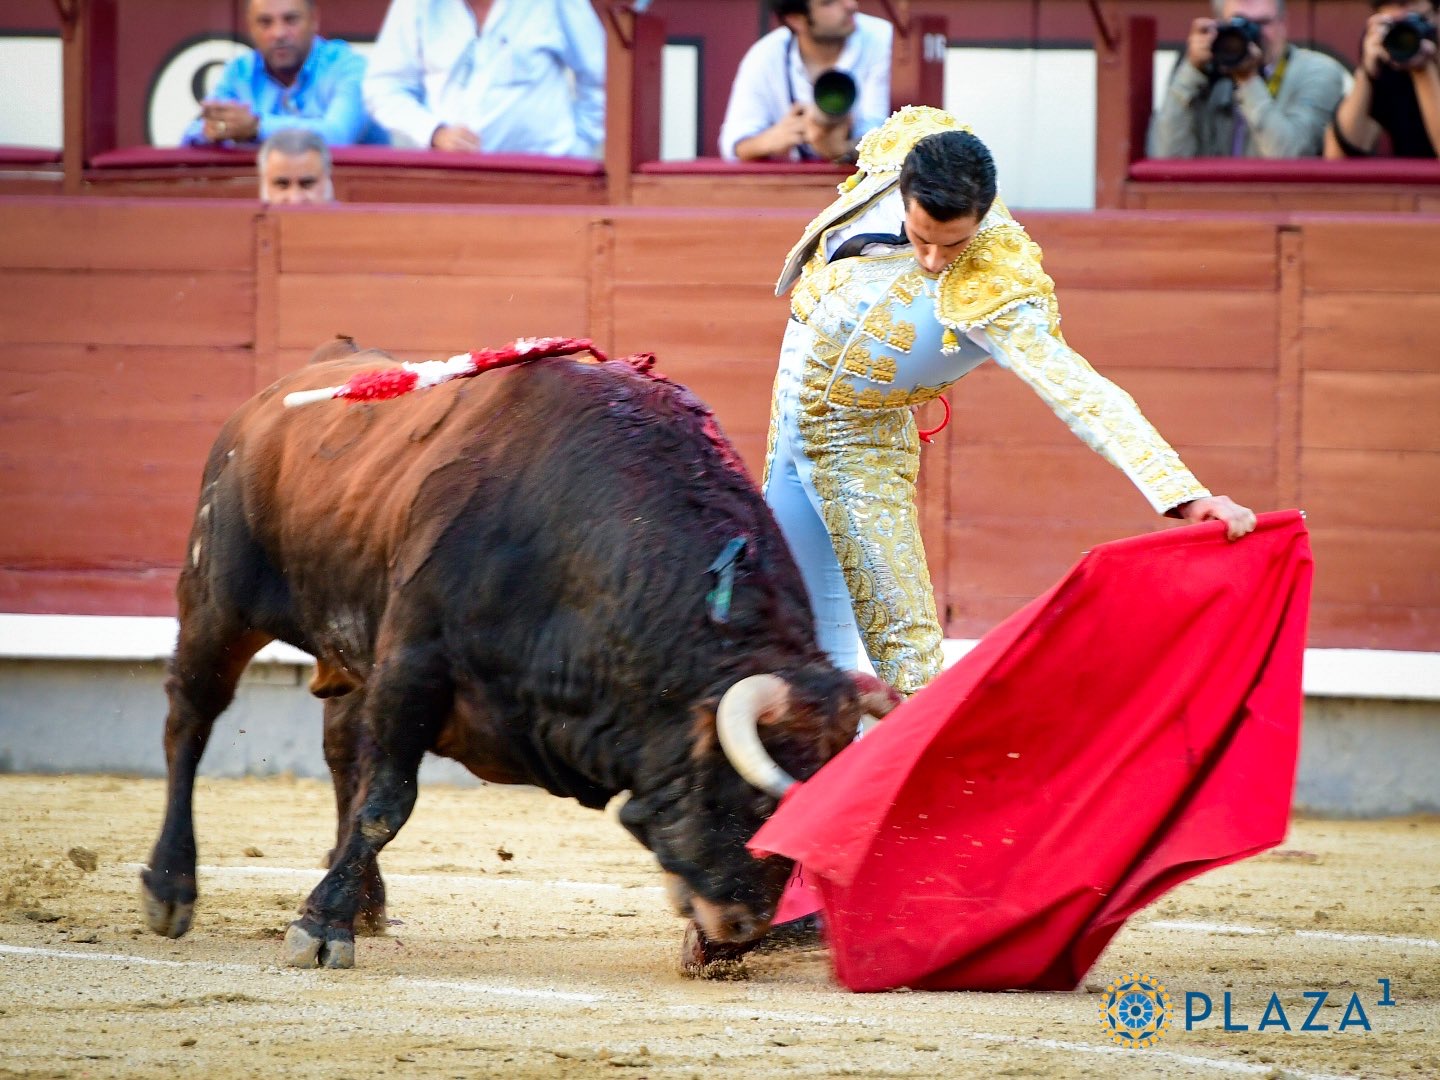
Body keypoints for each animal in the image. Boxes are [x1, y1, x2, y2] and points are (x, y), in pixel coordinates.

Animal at [140, 338, 892, 973]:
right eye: (758, 802)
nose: (740, 929)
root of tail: (277, 394)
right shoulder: (413, 664)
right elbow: (387, 803)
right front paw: (321, 928)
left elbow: (368, 790)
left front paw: (336, 910)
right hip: (217, 600)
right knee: (190, 720)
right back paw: (170, 889)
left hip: (350, 649)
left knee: (339, 752)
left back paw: (366, 901)